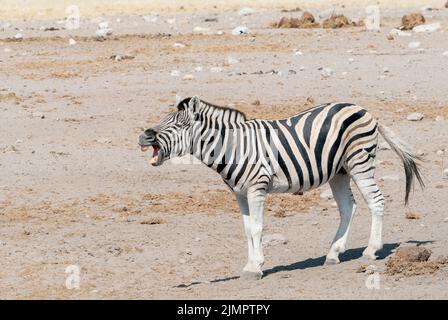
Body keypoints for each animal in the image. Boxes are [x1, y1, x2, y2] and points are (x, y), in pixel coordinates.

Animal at [139, 96, 424, 278]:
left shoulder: (256, 187)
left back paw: (370, 250)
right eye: (164, 119)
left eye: (178, 124)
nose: (144, 135)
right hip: (339, 171)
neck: (232, 147)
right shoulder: (239, 193)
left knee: (376, 201)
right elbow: (247, 229)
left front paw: (256, 267)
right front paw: (250, 264)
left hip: (359, 161)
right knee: (348, 207)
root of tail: (363, 109)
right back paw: (333, 253)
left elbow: (257, 227)